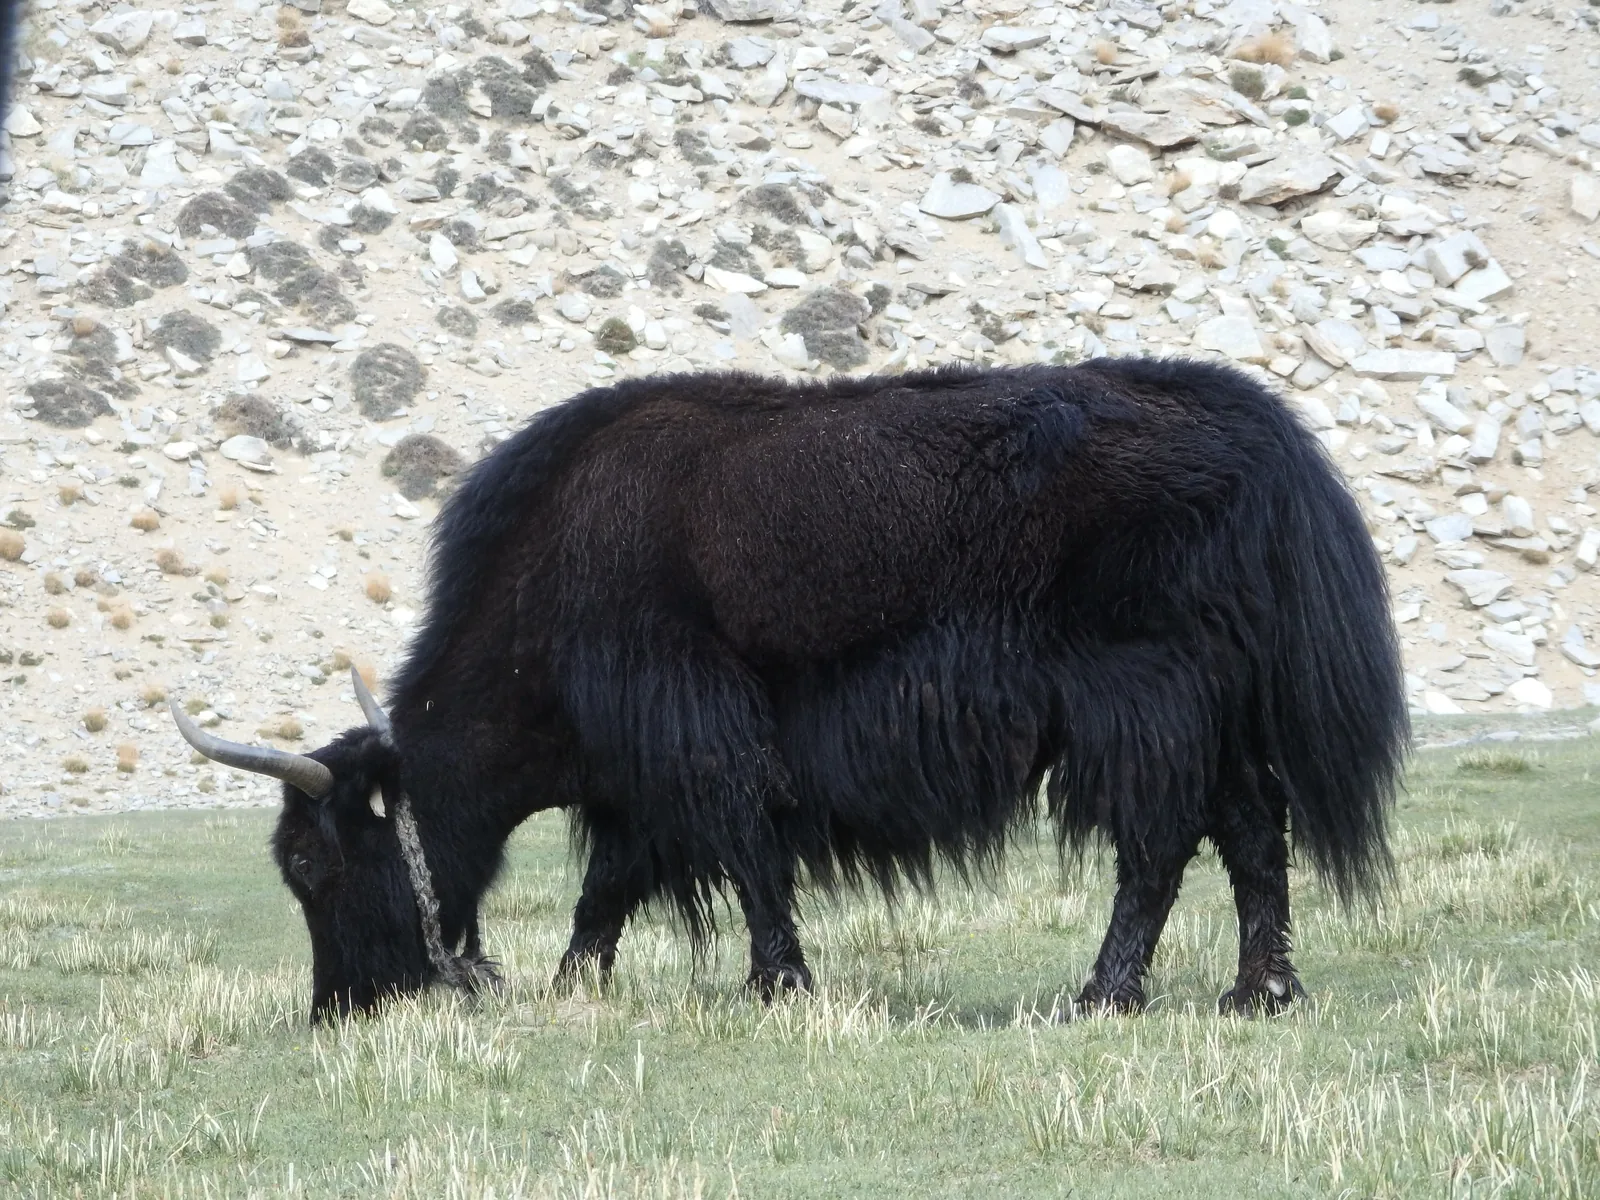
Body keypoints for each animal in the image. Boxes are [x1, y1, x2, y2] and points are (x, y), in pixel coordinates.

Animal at [172, 358, 1408, 1022]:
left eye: (315, 864)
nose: (340, 1010)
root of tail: (1261, 435)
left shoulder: (685, 726)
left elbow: (739, 846)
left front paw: (777, 983)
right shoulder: (637, 770)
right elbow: (611, 886)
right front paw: (579, 984)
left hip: (1143, 693)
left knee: (1158, 840)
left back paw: (1103, 992)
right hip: (1220, 706)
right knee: (1250, 827)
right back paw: (1258, 993)